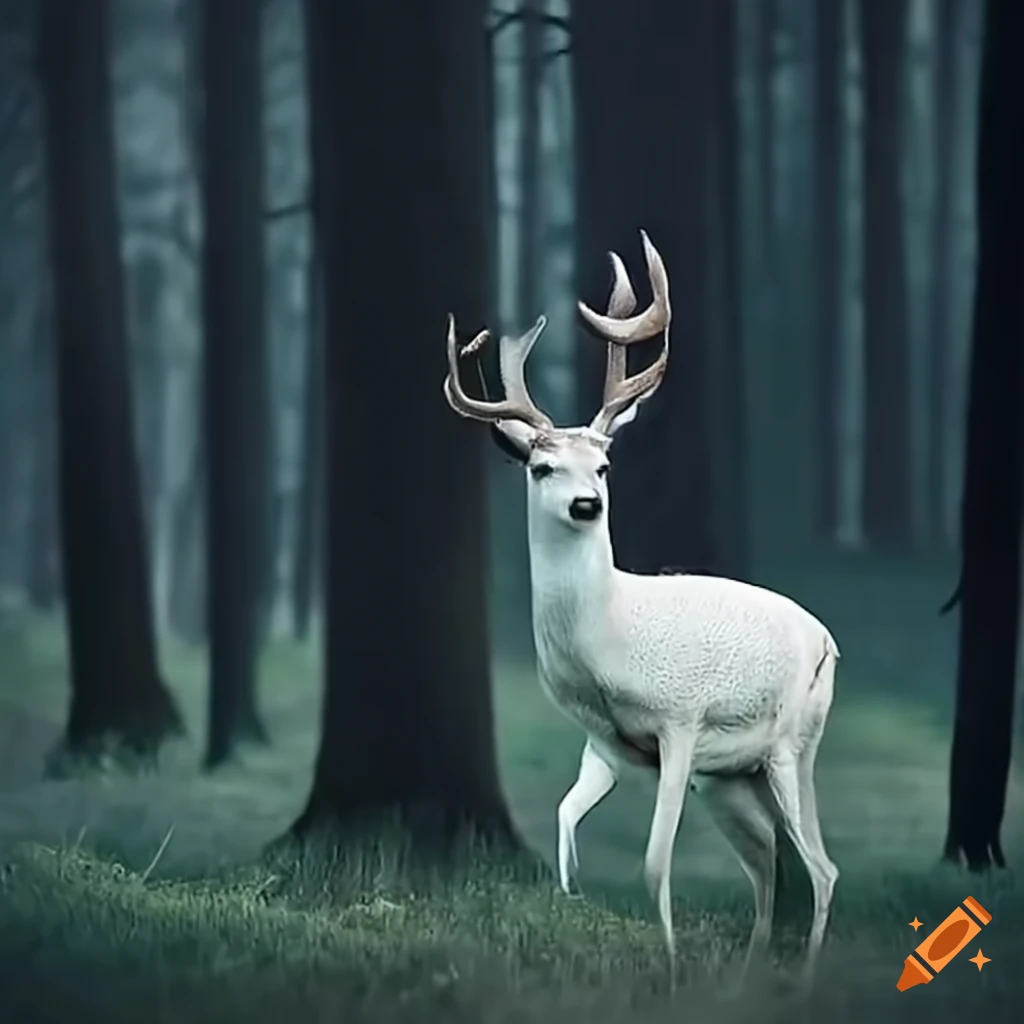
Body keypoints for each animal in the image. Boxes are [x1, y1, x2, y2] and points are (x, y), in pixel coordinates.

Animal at [442, 230, 840, 993]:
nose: (585, 504)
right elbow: (565, 820)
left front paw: (672, 965)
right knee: (769, 861)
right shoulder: (605, 741)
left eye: (603, 465)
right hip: (732, 779)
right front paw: (571, 901)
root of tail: (830, 641)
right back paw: (752, 971)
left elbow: (655, 864)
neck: (607, 638)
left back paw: (804, 977)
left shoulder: (679, 722)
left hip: (790, 744)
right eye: (541, 467)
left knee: (822, 867)